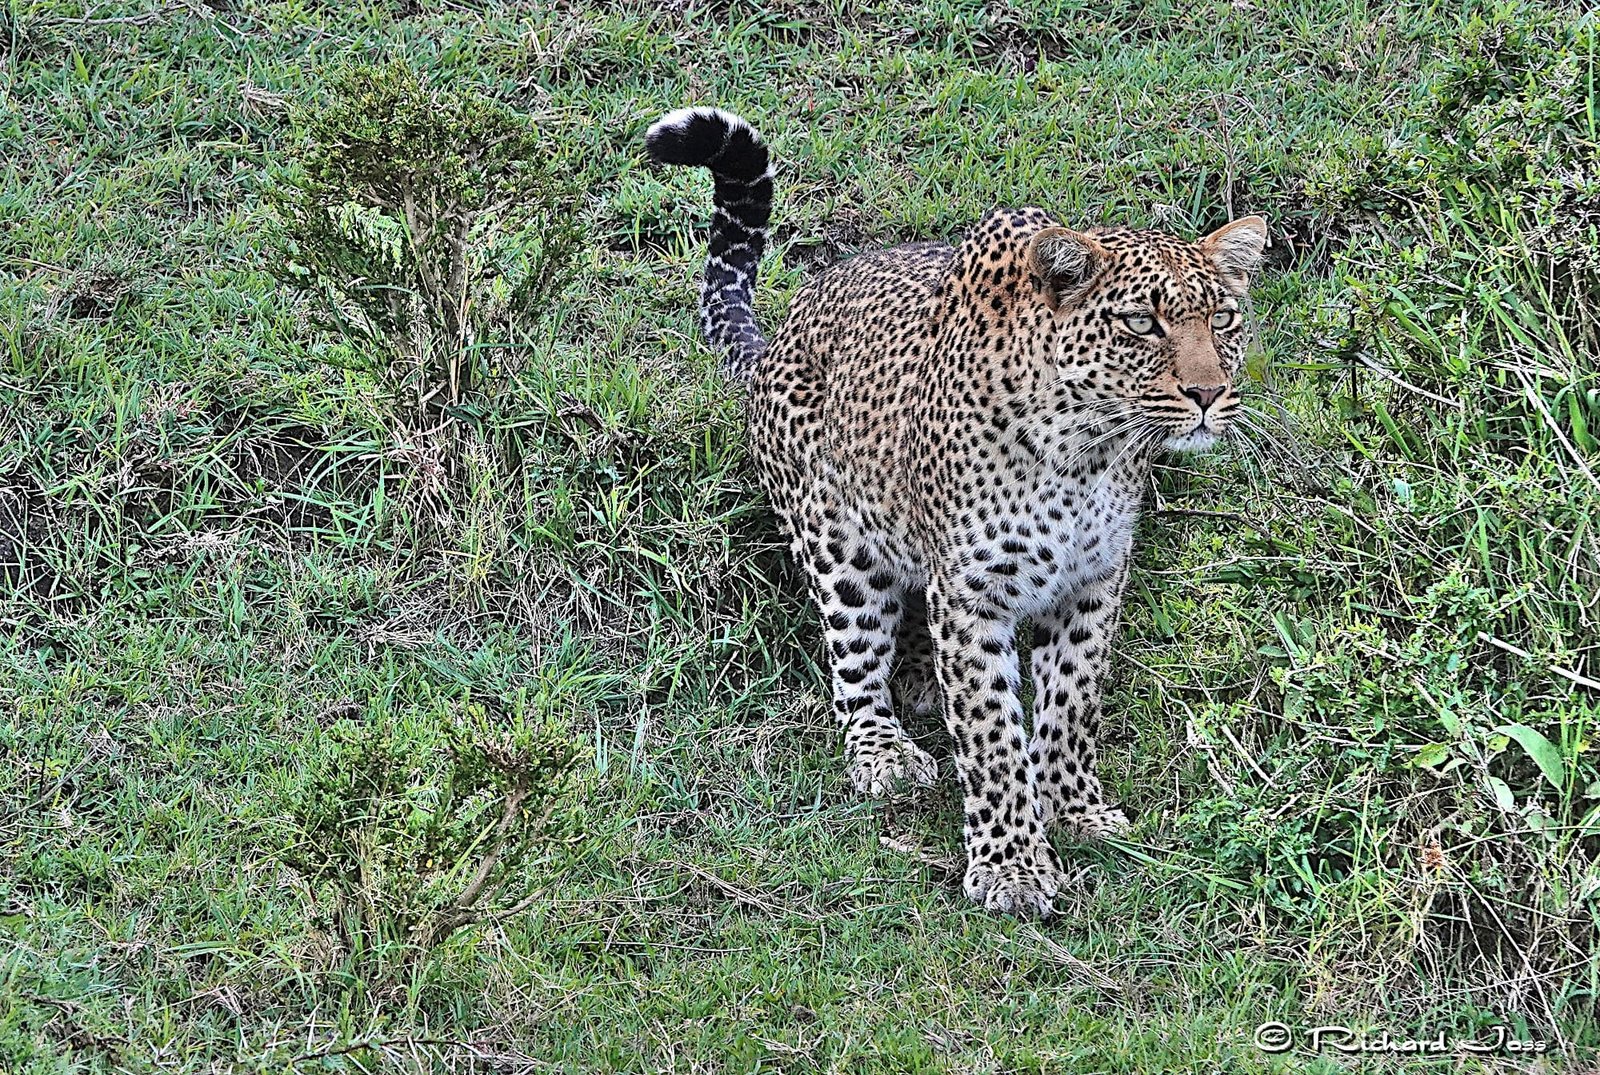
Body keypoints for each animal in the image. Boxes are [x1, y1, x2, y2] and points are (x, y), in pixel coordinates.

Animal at [646, 107, 1268, 918]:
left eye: (1222, 318)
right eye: (1140, 323)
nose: (1208, 393)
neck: (1089, 451)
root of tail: (776, 339)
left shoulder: (1093, 582)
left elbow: (1072, 701)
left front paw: (1071, 805)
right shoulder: (975, 593)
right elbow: (991, 734)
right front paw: (1012, 867)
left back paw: (919, 676)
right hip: (840, 549)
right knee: (855, 668)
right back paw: (884, 750)